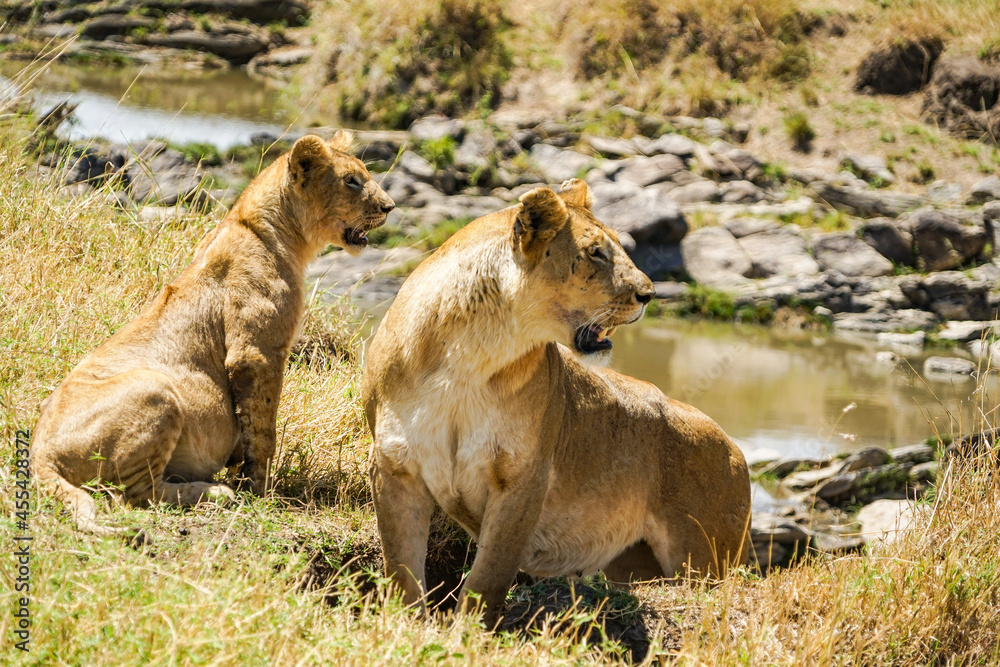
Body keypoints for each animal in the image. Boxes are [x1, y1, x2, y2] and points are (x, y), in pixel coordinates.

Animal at [32, 132, 394, 541]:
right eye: (352, 181)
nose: (390, 207)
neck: (260, 226)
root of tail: (39, 455)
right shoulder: (256, 352)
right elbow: (264, 430)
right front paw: (261, 490)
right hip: (155, 391)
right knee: (135, 494)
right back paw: (216, 492)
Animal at [363, 179, 751, 627]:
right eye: (595, 251)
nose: (649, 295)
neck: (471, 353)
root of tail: (735, 448)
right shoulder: (395, 466)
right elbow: (400, 568)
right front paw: (403, 625)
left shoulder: (525, 477)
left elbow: (489, 574)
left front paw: (469, 630)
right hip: (634, 564)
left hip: (704, 559)